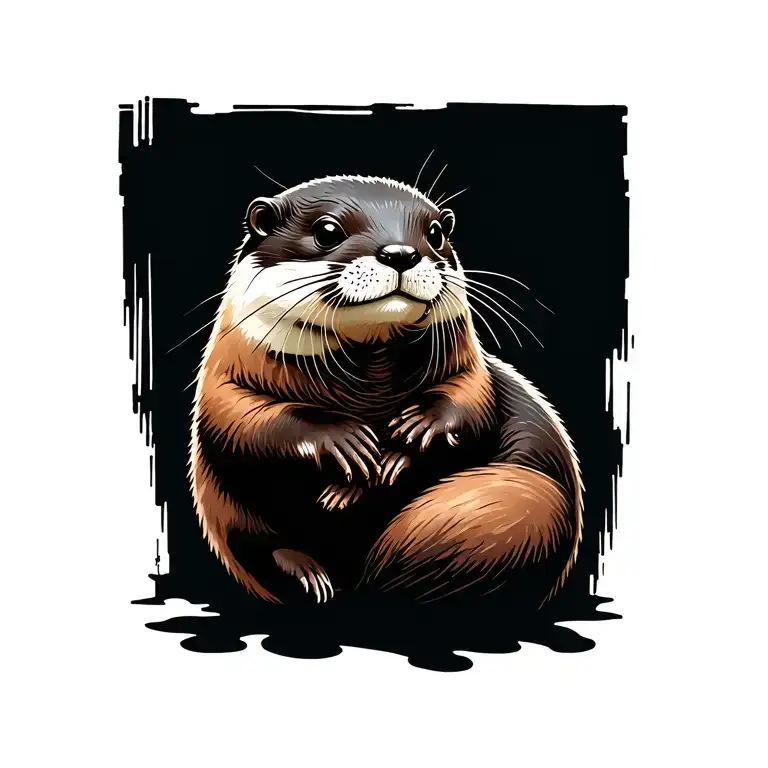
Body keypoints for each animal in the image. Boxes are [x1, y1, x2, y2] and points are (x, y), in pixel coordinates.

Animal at [189, 175, 582, 608]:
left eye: (435, 233)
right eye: (327, 231)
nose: (401, 253)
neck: (369, 392)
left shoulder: (473, 372)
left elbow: (473, 404)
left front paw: (415, 434)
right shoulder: (224, 377)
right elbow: (238, 420)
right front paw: (342, 442)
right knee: (259, 546)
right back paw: (307, 574)